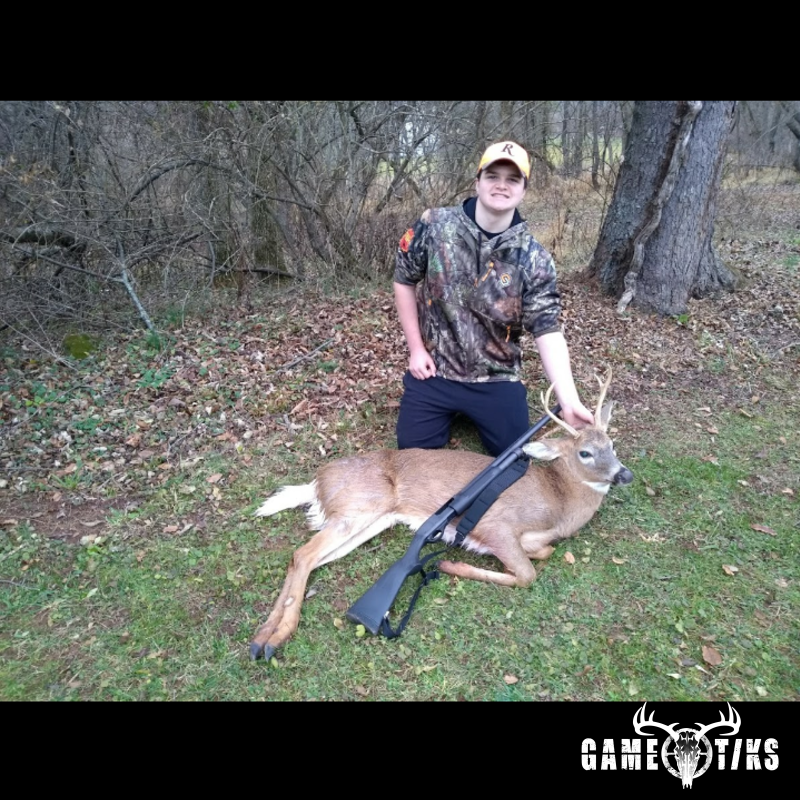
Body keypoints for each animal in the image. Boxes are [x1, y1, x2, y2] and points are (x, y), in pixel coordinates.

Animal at [249, 371, 633, 661]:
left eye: (612, 444)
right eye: (585, 452)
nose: (624, 475)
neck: (558, 502)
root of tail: (316, 482)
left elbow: (544, 553)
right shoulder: (497, 525)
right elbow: (526, 574)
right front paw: (450, 564)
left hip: (368, 521)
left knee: (307, 560)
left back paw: (262, 639)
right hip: (359, 508)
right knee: (303, 554)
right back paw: (278, 636)